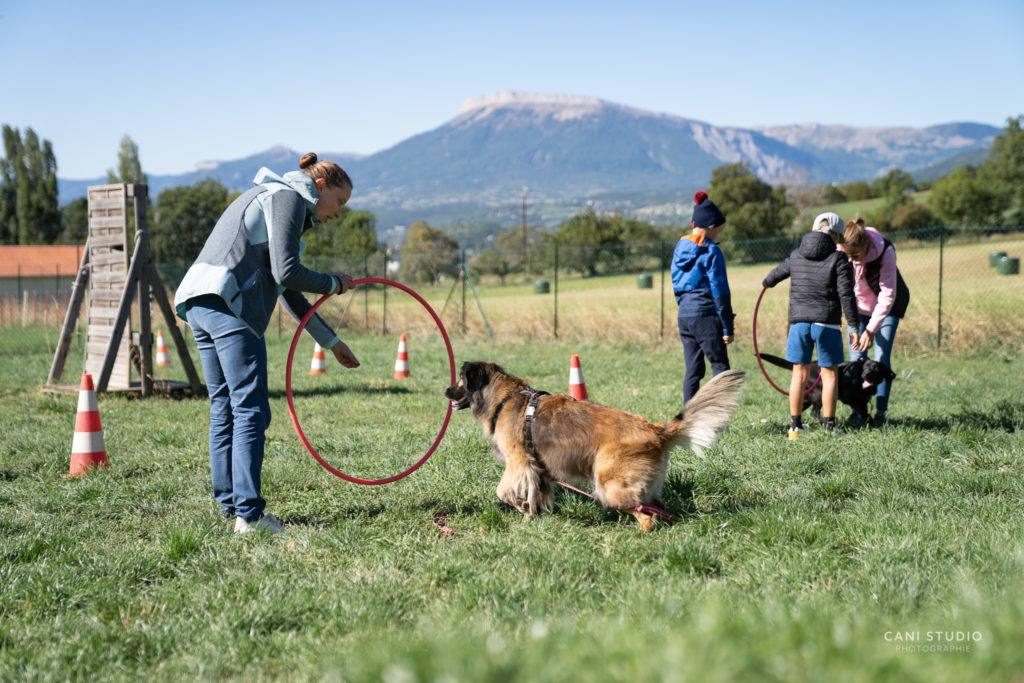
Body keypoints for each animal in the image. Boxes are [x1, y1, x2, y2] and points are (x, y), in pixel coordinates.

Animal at [440, 360, 745, 532]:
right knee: (658, 508)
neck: (506, 399)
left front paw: (520, 506)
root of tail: (657, 430)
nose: (445, 391)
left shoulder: (519, 461)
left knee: (647, 517)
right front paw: (530, 520)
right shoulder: (538, 468)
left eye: (461, 379)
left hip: (609, 486)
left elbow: (503, 492)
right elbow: (537, 497)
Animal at [757, 356, 892, 423]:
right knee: (814, 413)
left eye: (876, 368)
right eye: (864, 367)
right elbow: (864, 413)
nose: (866, 375)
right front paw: (872, 424)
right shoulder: (853, 399)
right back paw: (826, 421)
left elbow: (864, 412)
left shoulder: (862, 400)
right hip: (820, 393)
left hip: (806, 399)